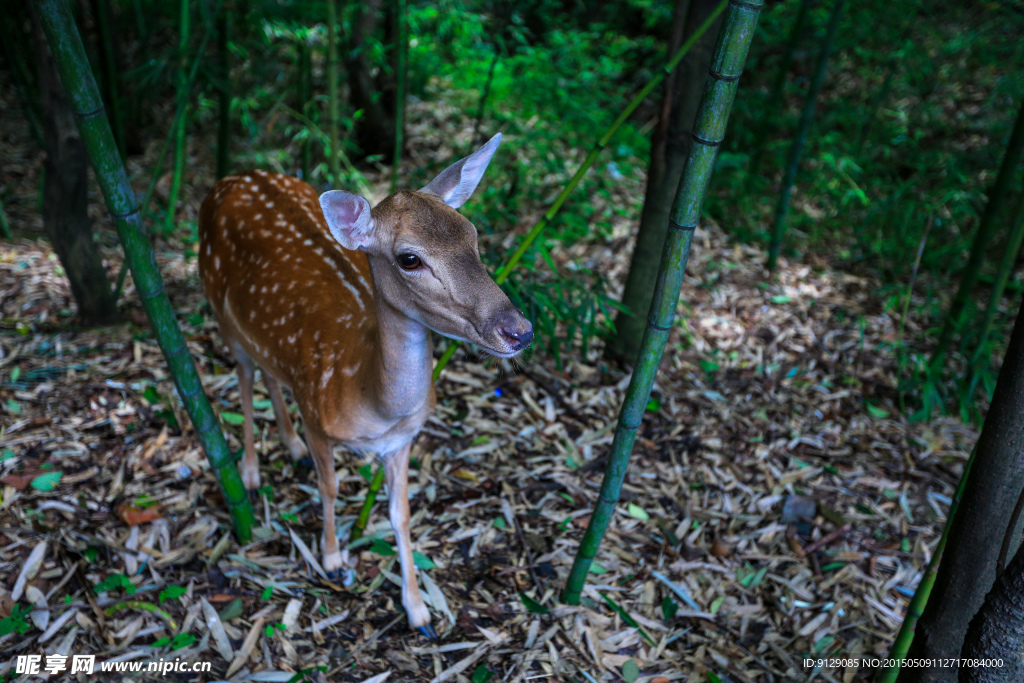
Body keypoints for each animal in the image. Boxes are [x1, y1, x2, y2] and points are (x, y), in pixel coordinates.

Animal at [199, 136, 536, 638]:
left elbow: (400, 514)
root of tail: (233, 177)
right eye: (409, 258)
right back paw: (251, 474)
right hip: (219, 309)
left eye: (472, 235)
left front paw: (419, 610)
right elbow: (330, 486)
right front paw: (332, 558)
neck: (368, 398)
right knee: (243, 374)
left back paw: (290, 446)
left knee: (270, 373)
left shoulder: (402, 440)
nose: (519, 331)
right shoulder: (318, 419)